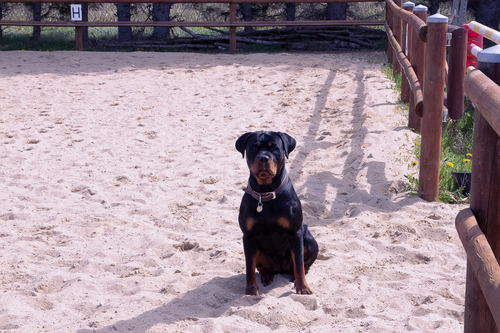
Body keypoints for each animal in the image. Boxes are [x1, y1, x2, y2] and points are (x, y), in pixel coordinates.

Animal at [236, 131, 318, 294]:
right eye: (253, 148)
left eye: (274, 148)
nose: (263, 158)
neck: (266, 193)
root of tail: (281, 269)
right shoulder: (248, 236)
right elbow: (249, 268)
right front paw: (251, 292)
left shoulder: (295, 233)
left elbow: (299, 263)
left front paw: (302, 287)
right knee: (261, 267)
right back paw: (267, 276)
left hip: (309, 241)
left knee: (303, 264)